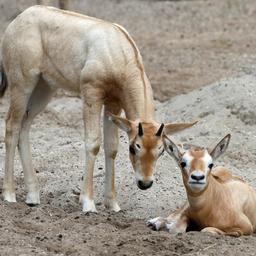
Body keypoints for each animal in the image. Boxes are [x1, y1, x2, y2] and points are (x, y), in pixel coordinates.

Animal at [0, 6, 196, 214]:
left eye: (160, 151)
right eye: (134, 147)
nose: (145, 183)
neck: (117, 49)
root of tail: (20, 18)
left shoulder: (113, 102)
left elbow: (111, 147)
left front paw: (113, 204)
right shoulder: (91, 94)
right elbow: (93, 143)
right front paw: (88, 203)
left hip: (44, 88)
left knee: (24, 126)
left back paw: (33, 196)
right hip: (22, 84)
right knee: (12, 125)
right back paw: (9, 194)